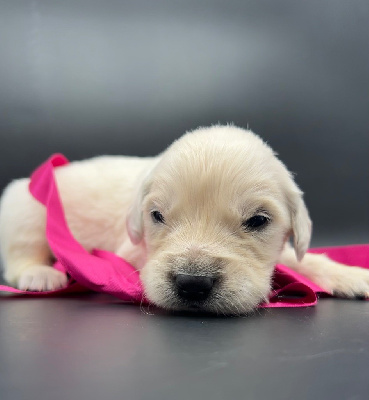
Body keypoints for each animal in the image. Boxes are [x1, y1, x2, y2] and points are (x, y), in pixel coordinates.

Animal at [0, 126, 368, 314]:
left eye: (258, 221)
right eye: (157, 216)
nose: (193, 284)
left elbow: (297, 258)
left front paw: (349, 275)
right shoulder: (130, 250)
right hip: (27, 211)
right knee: (21, 254)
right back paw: (40, 274)